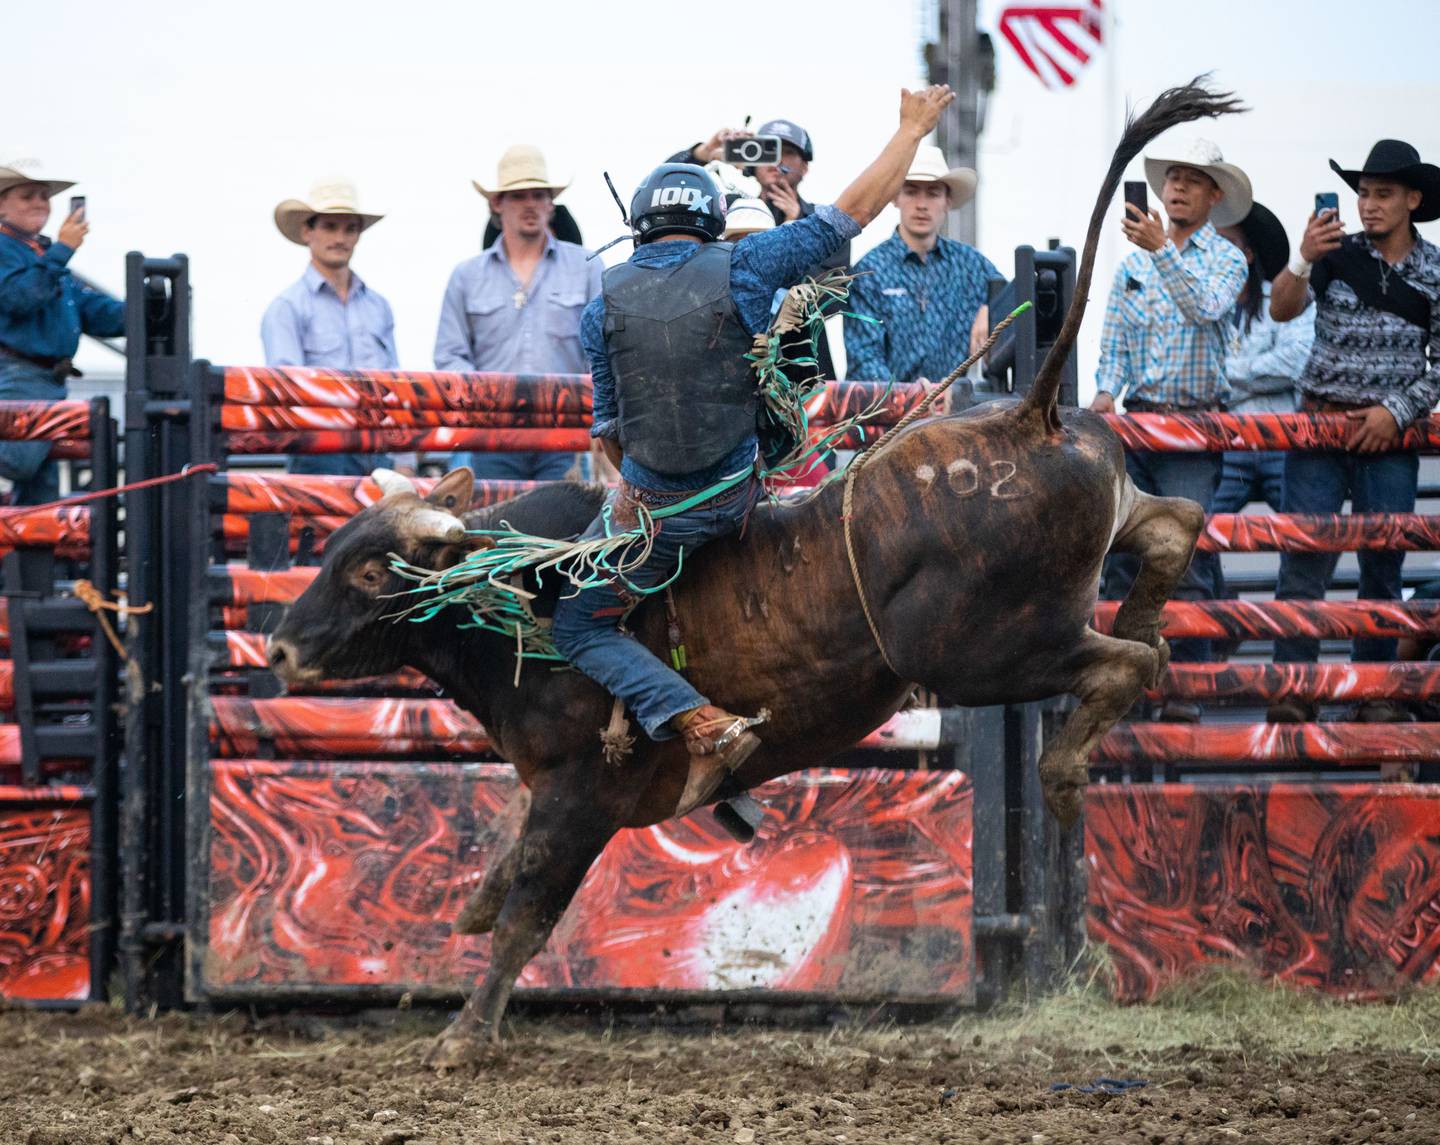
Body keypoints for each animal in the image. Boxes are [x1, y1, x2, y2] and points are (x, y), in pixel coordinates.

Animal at [267, 80, 1238, 1065]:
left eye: (370, 572)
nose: (279, 650)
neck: (520, 595)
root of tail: (1025, 413)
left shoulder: (579, 793)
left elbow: (529, 912)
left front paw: (464, 1033)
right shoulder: (551, 793)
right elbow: (506, 865)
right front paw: (469, 908)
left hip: (991, 649)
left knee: (1124, 663)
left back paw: (1069, 764)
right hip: (1079, 551)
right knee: (1173, 530)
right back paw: (1145, 619)